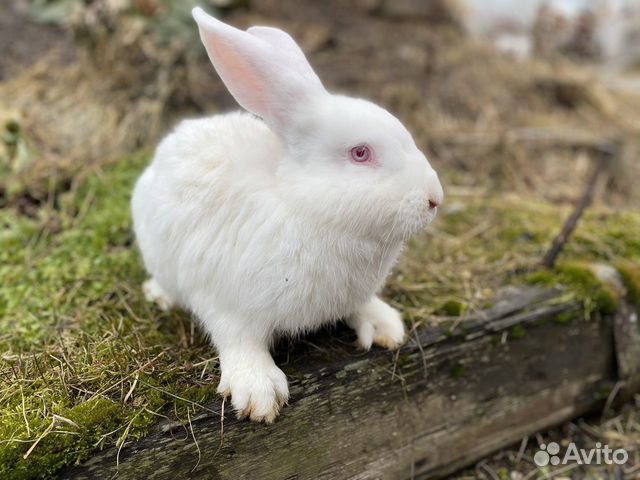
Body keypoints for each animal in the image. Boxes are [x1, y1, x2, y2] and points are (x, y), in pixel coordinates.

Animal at [131, 5, 444, 422]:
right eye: (360, 153)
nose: (434, 198)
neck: (306, 206)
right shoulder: (226, 303)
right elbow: (238, 340)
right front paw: (259, 393)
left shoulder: (352, 295)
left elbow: (362, 306)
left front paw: (385, 327)